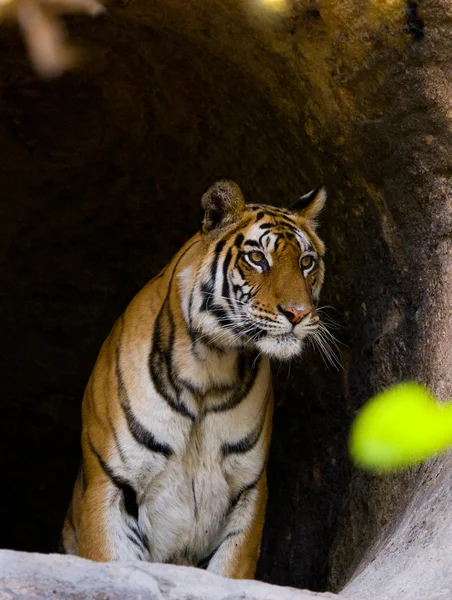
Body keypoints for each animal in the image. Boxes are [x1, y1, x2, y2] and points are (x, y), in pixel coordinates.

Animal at [61, 179, 328, 580]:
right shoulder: (109, 484)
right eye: (256, 258)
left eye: (306, 262)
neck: (209, 369)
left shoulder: (248, 490)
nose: (298, 314)